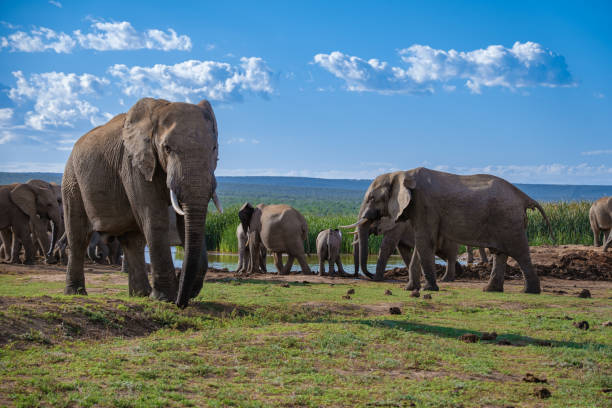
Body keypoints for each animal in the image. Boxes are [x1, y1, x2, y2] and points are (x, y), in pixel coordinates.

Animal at [59, 97, 221, 308]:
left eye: (214, 148)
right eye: (167, 148)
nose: (181, 303)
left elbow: (183, 222)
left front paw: (180, 291)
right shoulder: (133, 163)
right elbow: (155, 218)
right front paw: (165, 298)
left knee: (133, 241)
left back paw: (140, 294)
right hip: (71, 180)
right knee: (78, 236)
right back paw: (75, 293)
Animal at [344, 168, 556, 294]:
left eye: (371, 198)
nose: (367, 276)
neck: (402, 173)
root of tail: (523, 196)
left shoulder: (424, 206)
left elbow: (421, 242)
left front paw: (429, 289)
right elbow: (418, 247)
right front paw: (410, 289)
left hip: (509, 220)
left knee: (519, 252)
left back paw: (529, 292)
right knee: (500, 253)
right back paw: (490, 290)